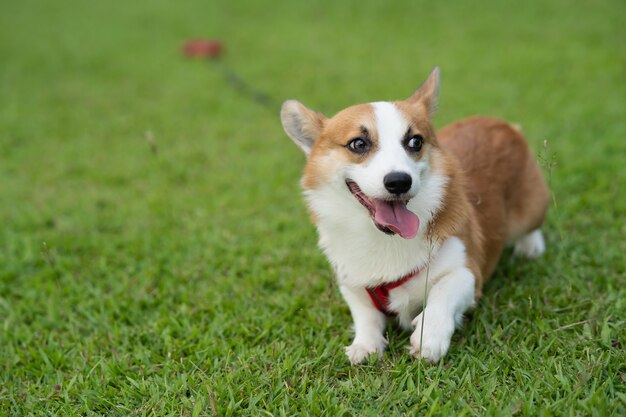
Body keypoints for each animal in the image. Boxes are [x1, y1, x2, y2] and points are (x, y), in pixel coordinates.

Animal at [278, 68, 544, 364]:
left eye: (414, 141)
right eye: (358, 143)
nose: (399, 182)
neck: (384, 240)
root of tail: (502, 124)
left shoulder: (468, 271)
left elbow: (444, 291)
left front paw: (429, 337)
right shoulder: (352, 284)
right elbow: (365, 315)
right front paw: (364, 345)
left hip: (532, 209)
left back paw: (531, 246)